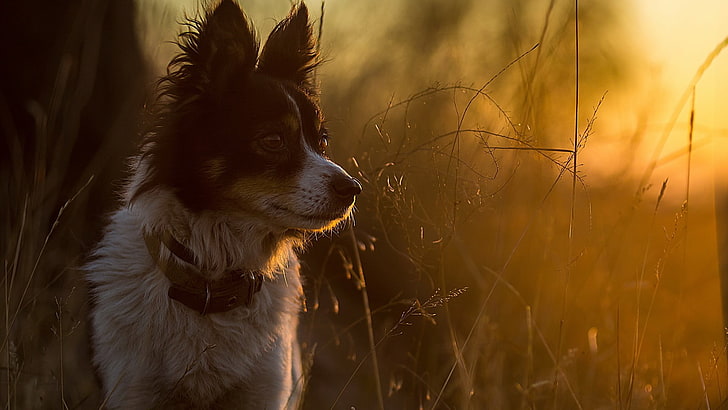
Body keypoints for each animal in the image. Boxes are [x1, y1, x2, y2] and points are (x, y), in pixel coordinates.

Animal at [85, 1, 362, 408]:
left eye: (322, 141)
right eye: (273, 140)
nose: (353, 189)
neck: (212, 284)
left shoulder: (265, 390)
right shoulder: (133, 387)